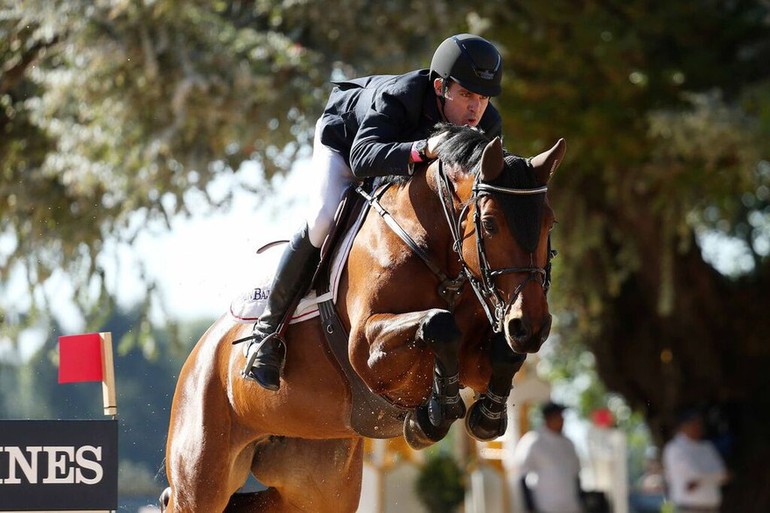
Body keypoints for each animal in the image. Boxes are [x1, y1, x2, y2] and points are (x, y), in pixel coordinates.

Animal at [160, 125, 564, 512]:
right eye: (491, 223)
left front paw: (487, 415)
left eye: (550, 222)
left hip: (316, 487)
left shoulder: (473, 357)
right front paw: (433, 416)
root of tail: (202, 351)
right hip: (201, 478)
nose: (530, 326)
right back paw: (263, 357)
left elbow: (502, 353)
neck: (436, 254)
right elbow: (437, 324)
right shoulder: (367, 348)